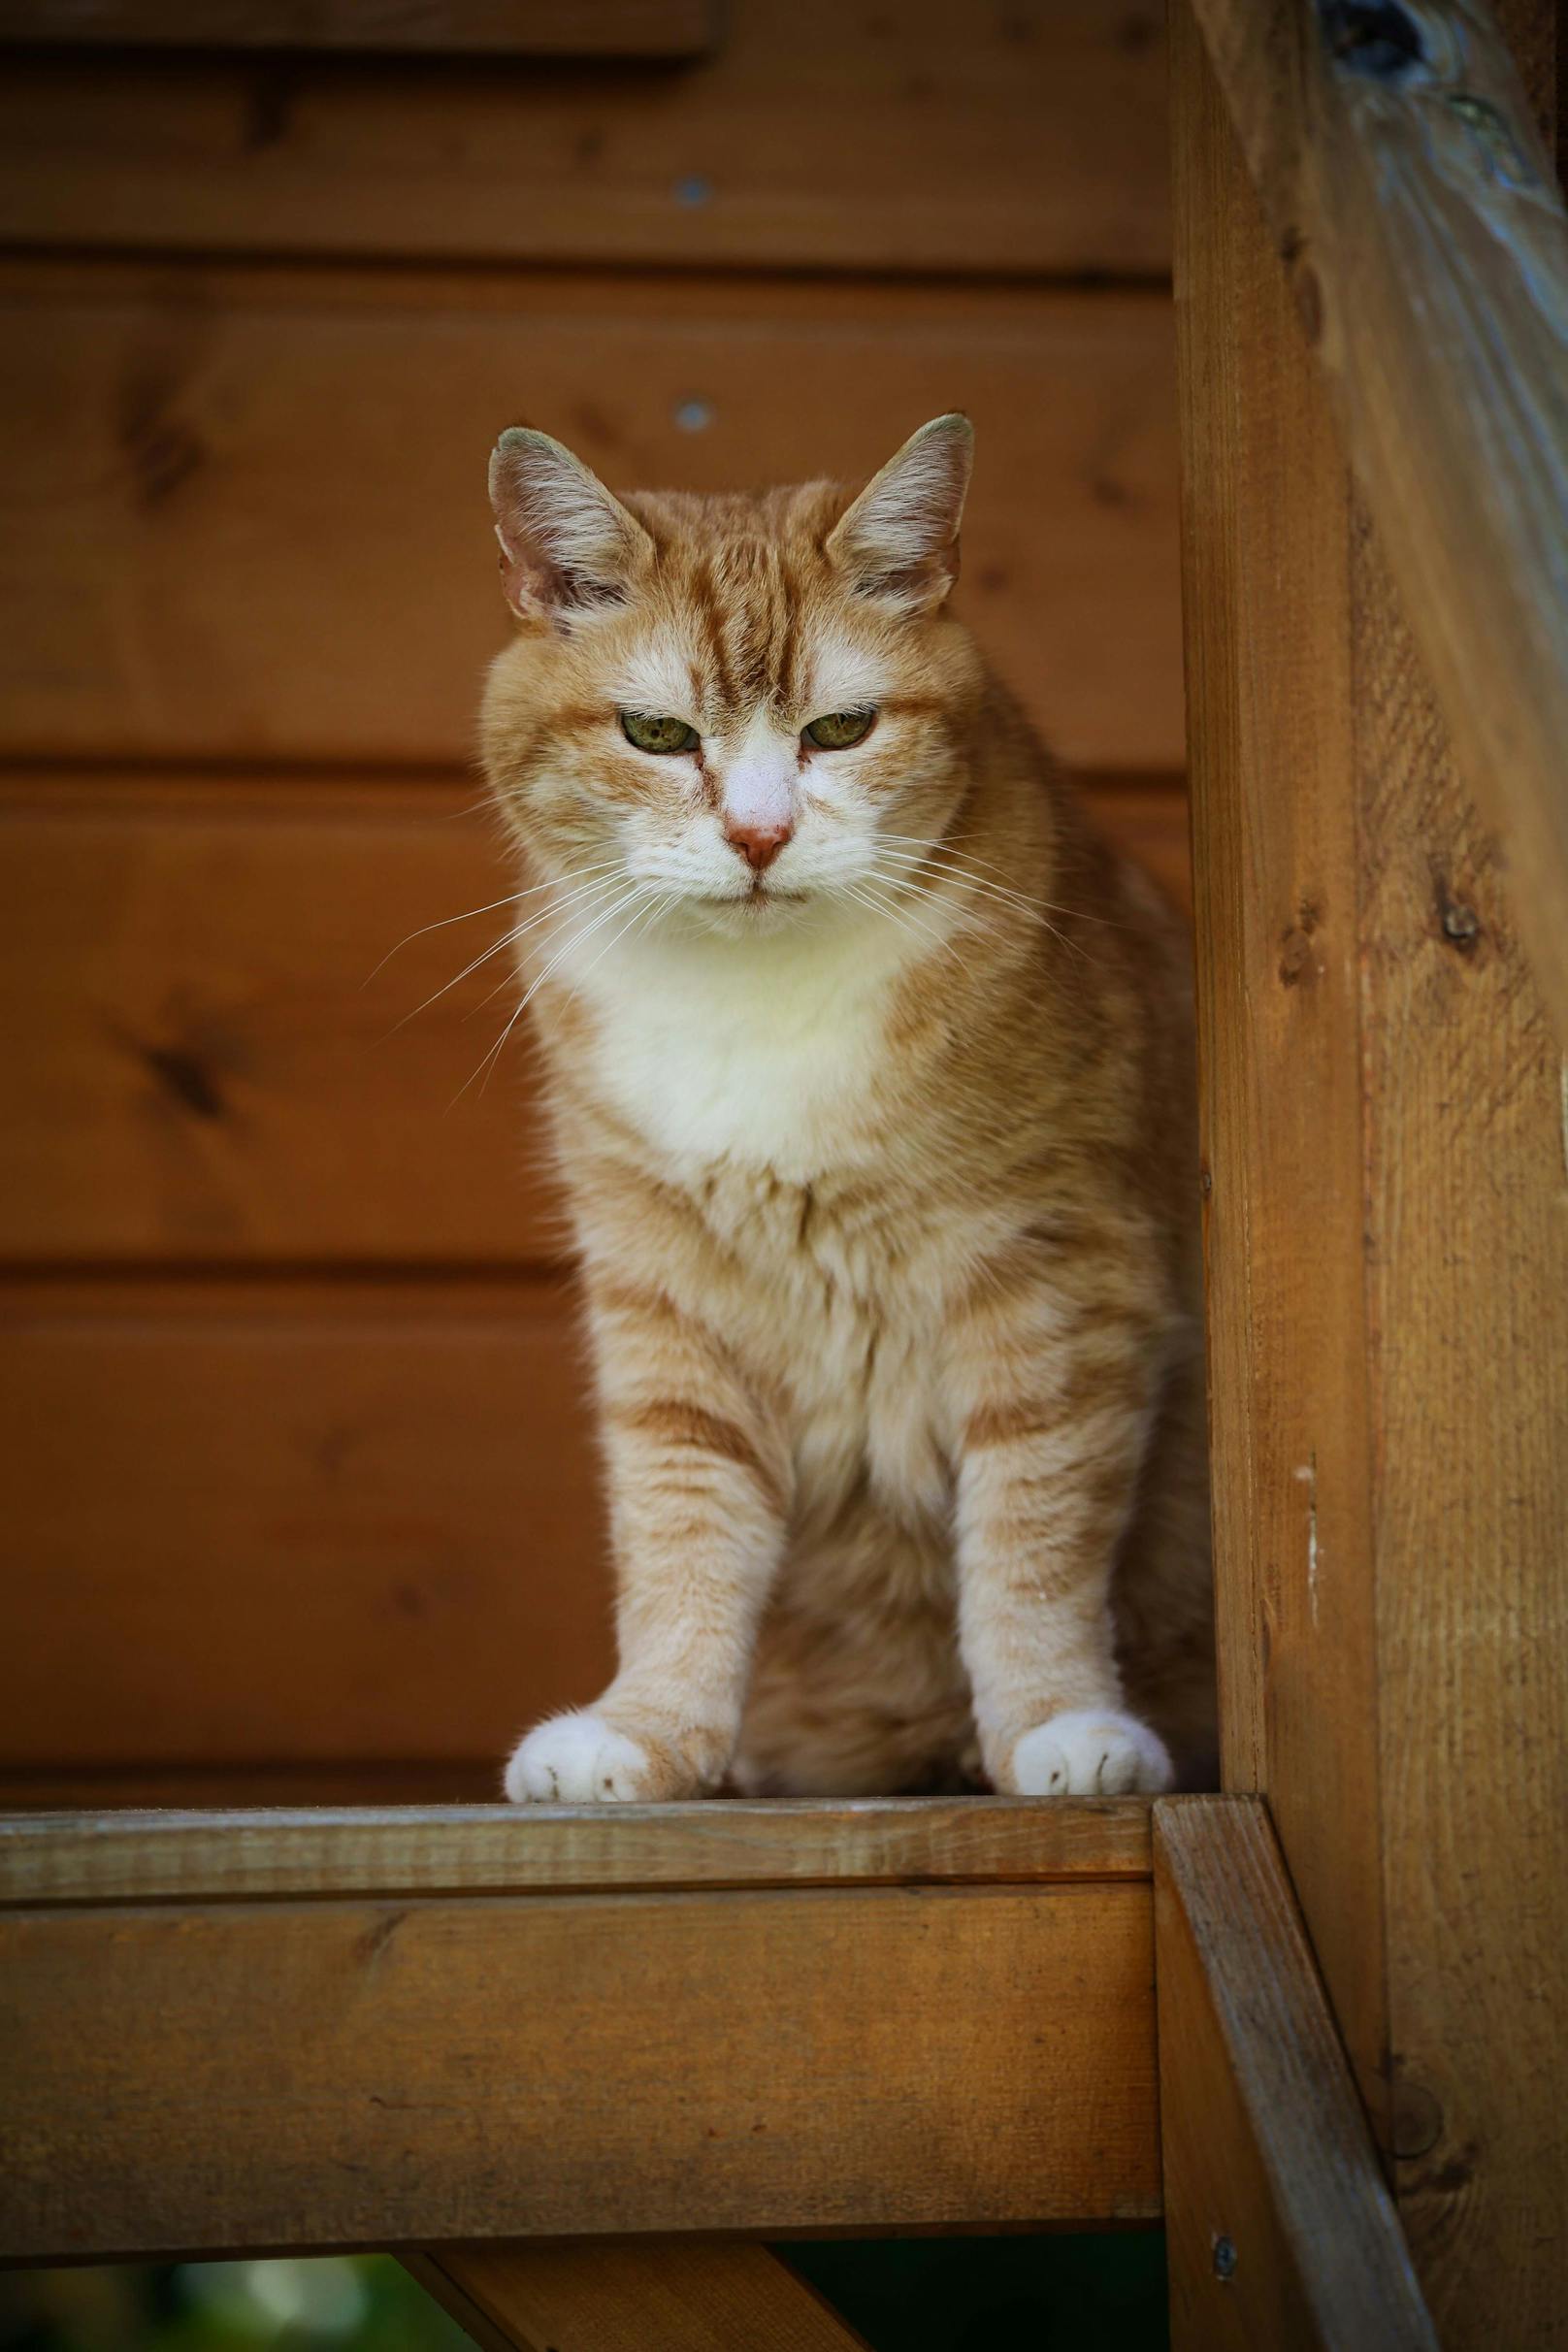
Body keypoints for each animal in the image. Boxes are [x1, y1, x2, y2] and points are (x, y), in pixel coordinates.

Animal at [479, 413, 1213, 1796]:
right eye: (654, 734)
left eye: (840, 729)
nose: (759, 836)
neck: (753, 1003)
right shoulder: (665, 1301)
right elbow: (678, 1531)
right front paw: (647, 1731)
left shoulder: (1058, 1276)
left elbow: (1032, 1534)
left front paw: (1057, 1725)